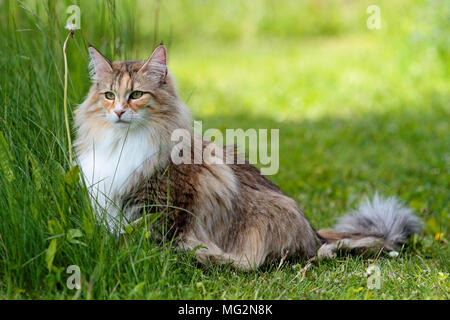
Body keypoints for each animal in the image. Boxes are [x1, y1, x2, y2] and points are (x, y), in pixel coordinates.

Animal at [73, 45, 422, 270]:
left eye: (136, 95)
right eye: (109, 95)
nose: (119, 112)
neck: (123, 143)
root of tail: (315, 234)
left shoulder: (165, 207)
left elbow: (155, 238)